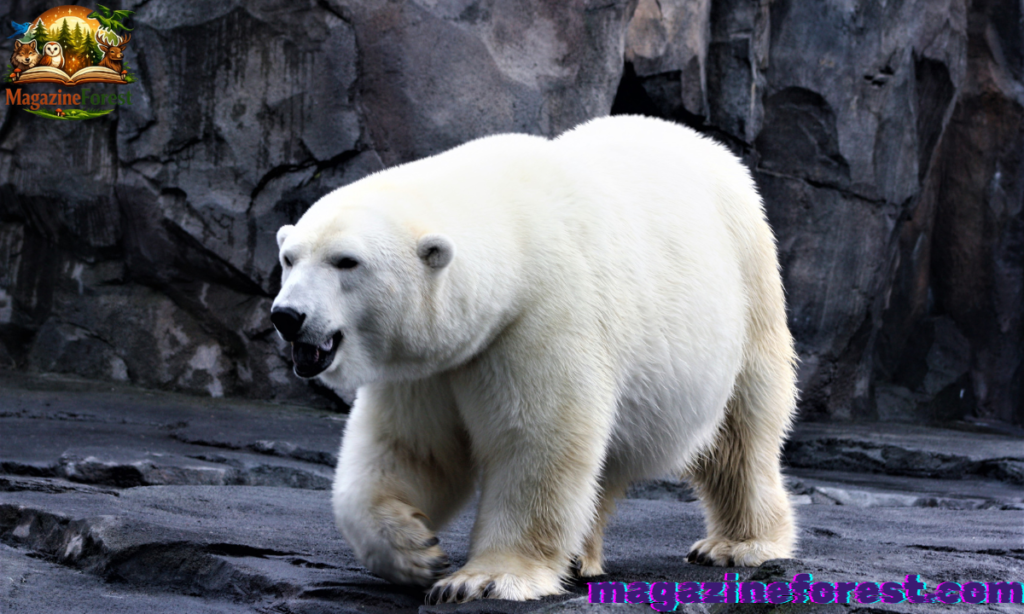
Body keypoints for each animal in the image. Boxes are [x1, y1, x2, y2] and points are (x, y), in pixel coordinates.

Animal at [271, 115, 798, 603]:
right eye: (289, 257)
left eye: (346, 261)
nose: (287, 316)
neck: (511, 237)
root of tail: (706, 144)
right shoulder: (430, 365)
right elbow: (411, 448)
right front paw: (414, 549)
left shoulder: (540, 317)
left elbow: (535, 441)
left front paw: (482, 579)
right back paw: (582, 556)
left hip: (748, 289)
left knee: (742, 432)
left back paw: (738, 545)